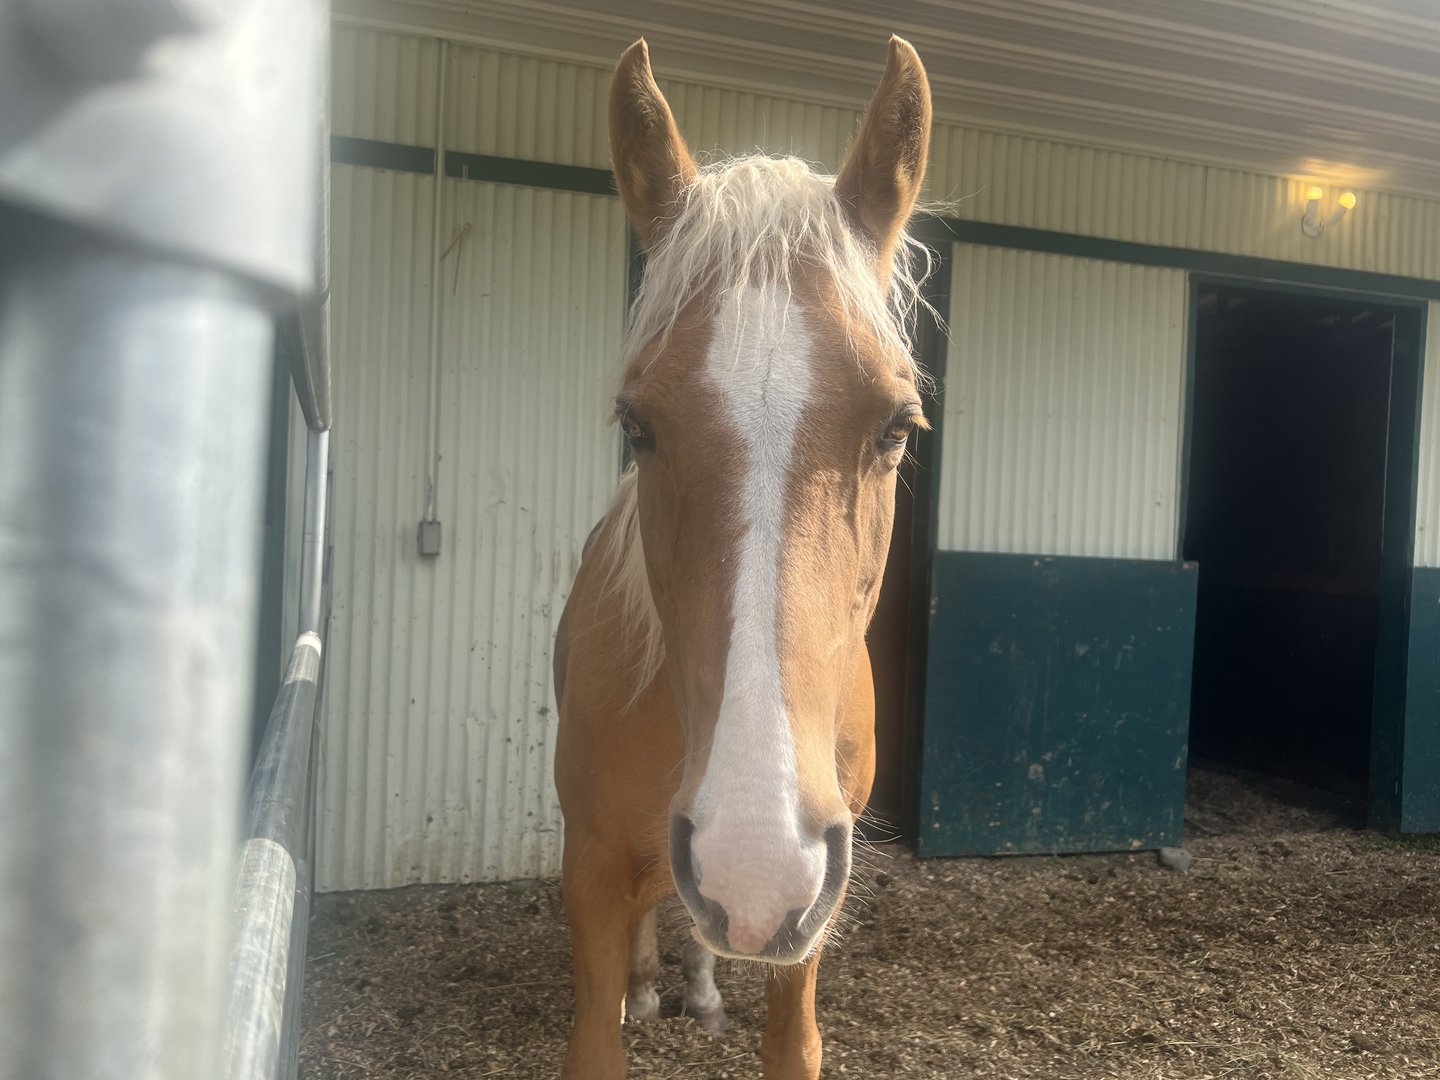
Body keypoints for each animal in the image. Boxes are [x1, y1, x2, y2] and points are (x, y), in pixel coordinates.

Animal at [552, 35, 933, 1080]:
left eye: (896, 426)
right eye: (637, 425)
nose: (753, 858)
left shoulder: (809, 902)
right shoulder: (591, 868)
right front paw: (637, 988)